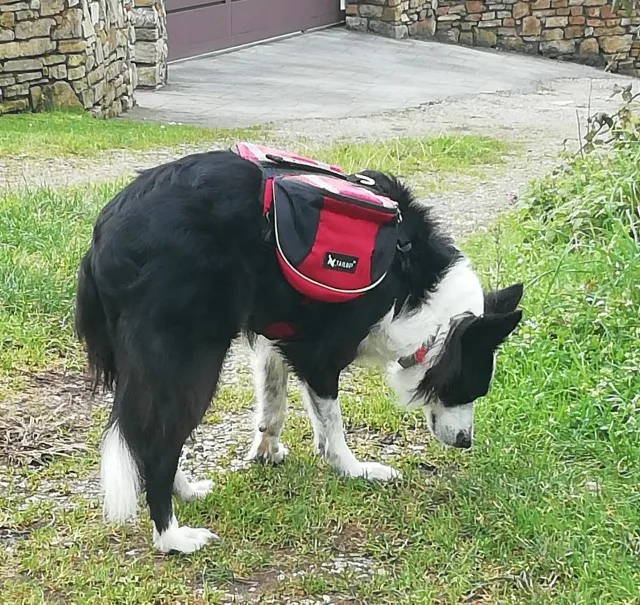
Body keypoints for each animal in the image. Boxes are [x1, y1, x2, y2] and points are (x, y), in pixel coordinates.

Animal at [75, 148, 523, 554]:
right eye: (470, 390)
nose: (465, 442)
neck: (415, 288)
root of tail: (105, 237)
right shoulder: (319, 356)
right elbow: (333, 427)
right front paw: (354, 469)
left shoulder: (277, 342)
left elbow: (273, 407)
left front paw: (267, 451)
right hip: (192, 357)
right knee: (157, 445)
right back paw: (172, 537)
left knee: (147, 435)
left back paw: (186, 491)